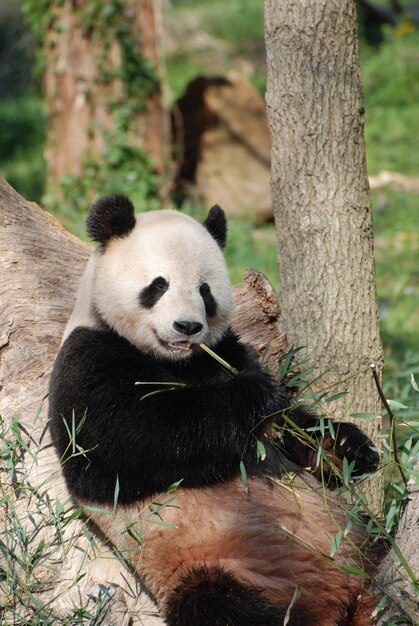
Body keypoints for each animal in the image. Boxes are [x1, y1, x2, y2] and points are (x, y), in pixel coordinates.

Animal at [49, 195, 380, 624]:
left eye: (204, 291)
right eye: (159, 285)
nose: (187, 327)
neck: (177, 361)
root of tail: (337, 599)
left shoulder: (226, 350)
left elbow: (292, 432)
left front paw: (349, 445)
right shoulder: (87, 361)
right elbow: (133, 441)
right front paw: (258, 394)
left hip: (355, 538)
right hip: (220, 565)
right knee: (218, 604)